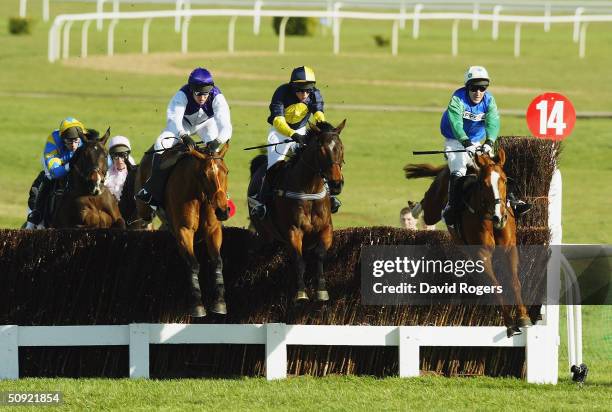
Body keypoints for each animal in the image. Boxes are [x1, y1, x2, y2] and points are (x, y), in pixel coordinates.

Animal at [134, 143, 230, 318]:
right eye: (204, 174)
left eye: (226, 171)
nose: (222, 211)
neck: (200, 195)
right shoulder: (184, 231)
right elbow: (193, 264)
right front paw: (197, 305)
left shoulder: (213, 230)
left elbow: (217, 261)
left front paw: (220, 302)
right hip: (143, 209)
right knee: (144, 221)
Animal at [247, 119, 344, 302]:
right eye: (321, 150)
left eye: (341, 147)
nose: (336, 184)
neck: (309, 190)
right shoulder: (293, 231)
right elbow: (299, 261)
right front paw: (301, 293)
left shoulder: (326, 228)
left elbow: (320, 254)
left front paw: (321, 290)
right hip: (264, 233)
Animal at [406, 150, 532, 336]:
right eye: (484, 184)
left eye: (504, 180)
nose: (500, 217)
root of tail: (446, 169)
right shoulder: (482, 254)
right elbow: (495, 286)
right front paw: (509, 323)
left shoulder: (509, 248)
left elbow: (514, 281)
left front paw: (523, 317)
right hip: (433, 209)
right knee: (426, 205)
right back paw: (413, 209)